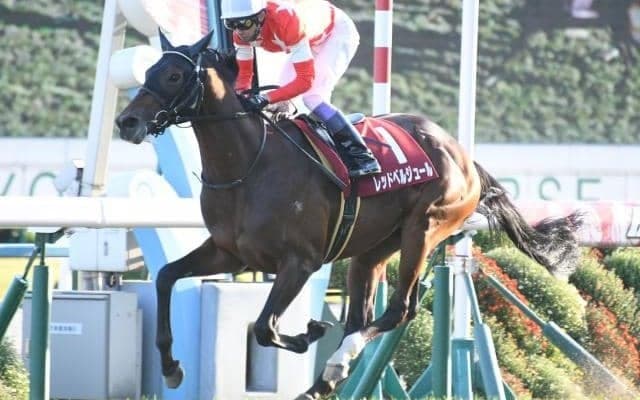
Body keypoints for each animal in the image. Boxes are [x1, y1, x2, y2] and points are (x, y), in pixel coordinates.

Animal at [115, 30, 583, 399]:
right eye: (148, 71)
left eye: (174, 76)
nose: (127, 122)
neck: (250, 164)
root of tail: (464, 157)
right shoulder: (231, 253)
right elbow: (166, 277)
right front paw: (171, 367)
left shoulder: (300, 262)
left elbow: (265, 327)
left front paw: (308, 333)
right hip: (372, 249)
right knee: (362, 316)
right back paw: (326, 377)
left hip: (424, 229)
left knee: (399, 310)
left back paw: (334, 365)